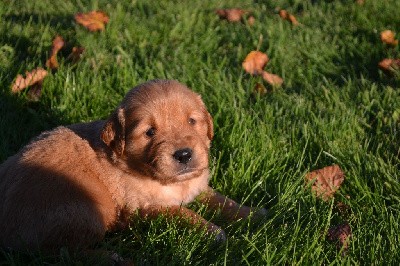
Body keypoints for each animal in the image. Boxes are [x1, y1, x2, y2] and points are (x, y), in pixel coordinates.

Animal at [0, 80, 266, 252]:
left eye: (192, 121)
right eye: (149, 132)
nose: (184, 154)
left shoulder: (197, 187)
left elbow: (223, 200)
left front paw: (254, 213)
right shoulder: (144, 208)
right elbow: (183, 213)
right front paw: (213, 231)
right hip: (85, 209)